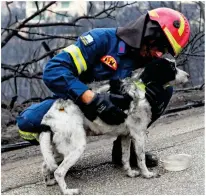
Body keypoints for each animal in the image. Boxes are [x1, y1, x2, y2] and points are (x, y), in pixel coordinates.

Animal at [37, 57, 189, 194]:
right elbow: (140, 158)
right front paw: (147, 174)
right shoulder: (138, 135)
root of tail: (49, 117)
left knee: (45, 165)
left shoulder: (126, 136)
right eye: (172, 68)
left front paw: (130, 173)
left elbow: (125, 157)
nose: (188, 75)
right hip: (76, 147)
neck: (144, 86)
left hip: (57, 149)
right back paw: (67, 191)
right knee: (58, 172)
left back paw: (49, 182)